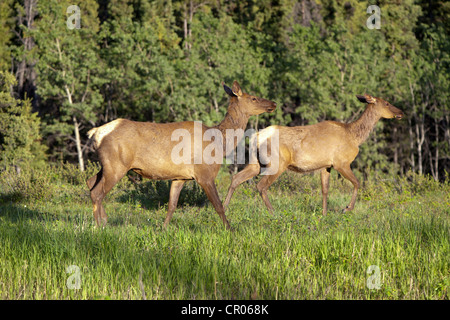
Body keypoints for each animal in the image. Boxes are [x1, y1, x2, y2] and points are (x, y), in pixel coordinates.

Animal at [86, 81, 276, 229]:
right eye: (253, 98)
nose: (273, 103)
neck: (219, 142)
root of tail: (96, 132)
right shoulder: (204, 174)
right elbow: (218, 205)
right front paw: (230, 229)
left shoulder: (180, 177)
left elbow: (172, 205)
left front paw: (163, 229)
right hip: (116, 164)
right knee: (97, 192)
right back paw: (99, 226)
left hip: (107, 165)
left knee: (90, 182)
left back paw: (104, 221)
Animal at [225, 94, 404, 216]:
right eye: (387, 103)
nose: (401, 112)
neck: (355, 136)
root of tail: (255, 137)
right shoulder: (341, 162)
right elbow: (357, 183)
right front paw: (347, 208)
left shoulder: (326, 166)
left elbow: (325, 189)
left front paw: (324, 214)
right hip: (277, 163)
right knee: (261, 186)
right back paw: (273, 212)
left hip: (255, 163)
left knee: (236, 178)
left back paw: (225, 207)